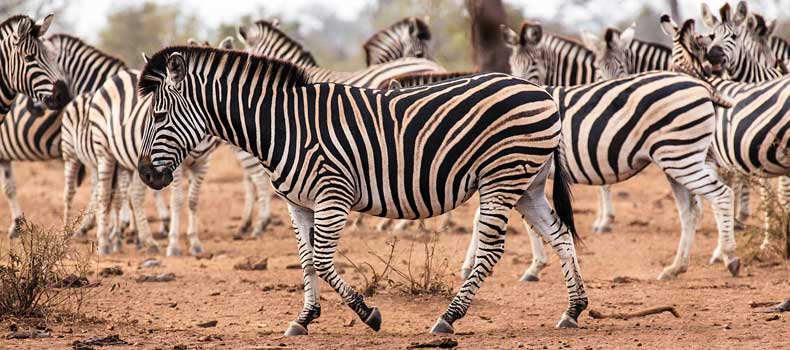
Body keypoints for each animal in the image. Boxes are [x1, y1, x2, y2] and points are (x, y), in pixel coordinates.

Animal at [133, 45, 584, 334]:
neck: (282, 127)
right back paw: (574, 310)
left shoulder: (333, 195)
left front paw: (368, 314)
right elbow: (306, 260)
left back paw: (448, 318)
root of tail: (541, 91)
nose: (146, 175)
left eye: (158, 115)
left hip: (501, 177)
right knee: (561, 235)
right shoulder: (297, 203)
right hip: (527, 184)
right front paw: (304, 318)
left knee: (492, 250)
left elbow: (323, 260)